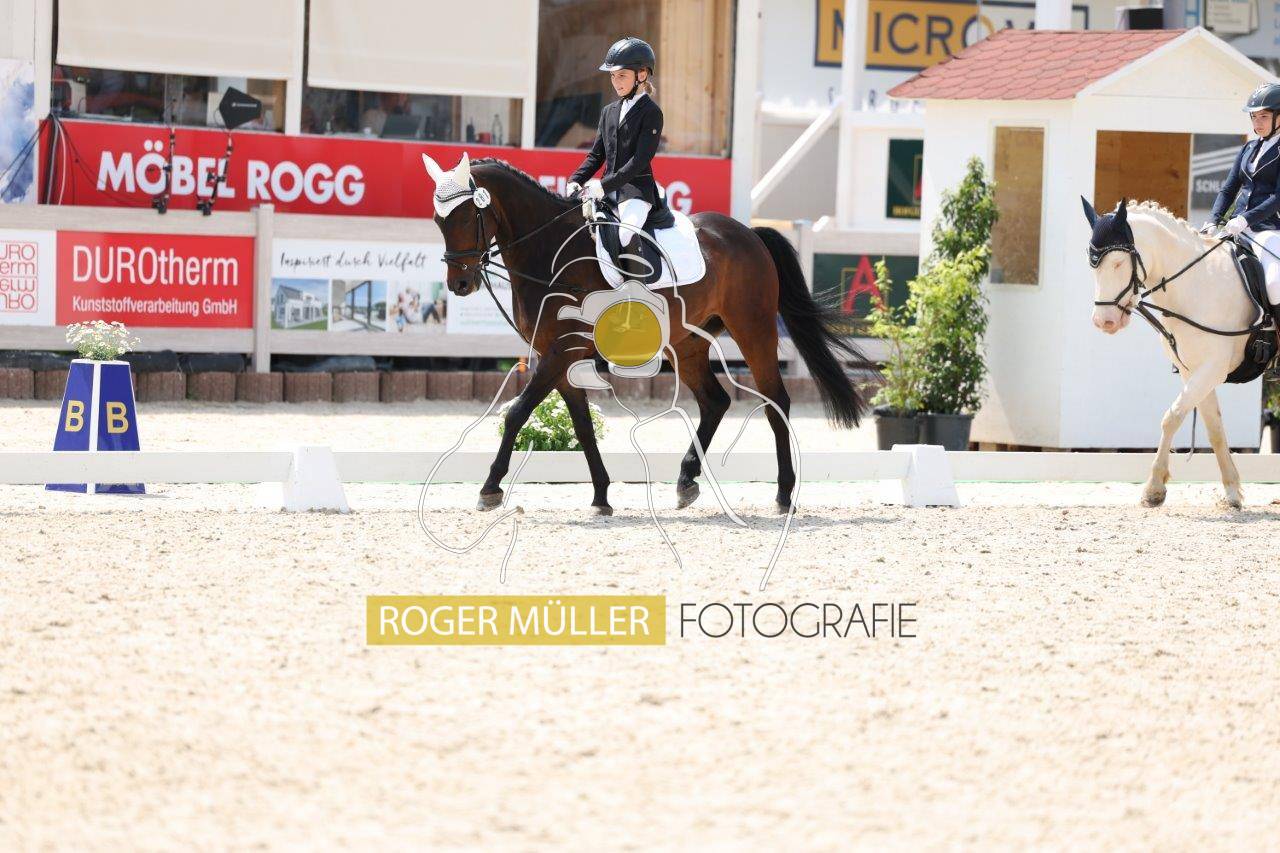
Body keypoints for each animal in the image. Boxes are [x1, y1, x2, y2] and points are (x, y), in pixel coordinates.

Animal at [420, 152, 868, 515]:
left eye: (466, 217)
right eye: (438, 220)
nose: (460, 285)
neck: (549, 252)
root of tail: (749, 233)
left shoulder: (562, 351)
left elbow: (517, 412)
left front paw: (489, 488)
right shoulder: (559, 355)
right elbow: (582, 426)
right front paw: (601, 496)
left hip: (752, 330)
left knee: (776, 402)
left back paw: (783, 494)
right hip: (684, 344)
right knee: (715, 401)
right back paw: (686, 482)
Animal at [1083, 197, 1270, 508]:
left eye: (1119, 263)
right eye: (1092, 265)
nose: (1104, 322)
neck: (1195, 284)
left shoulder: (1212, 368)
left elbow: (1172, 417)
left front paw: (1154, 488)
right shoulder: (1192, 369)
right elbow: (1214, 428)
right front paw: (1232, 491)